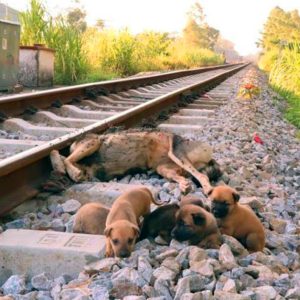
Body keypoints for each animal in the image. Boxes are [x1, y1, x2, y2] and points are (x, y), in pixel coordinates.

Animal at [50, 131, 221, 195]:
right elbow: (57, 154)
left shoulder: (92, 142)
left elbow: (62, 156)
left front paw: (72, 173)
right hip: (164, 167)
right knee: (183, 176)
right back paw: (185, 185)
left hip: (176, 153)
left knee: (202, 176)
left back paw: (207, 189)